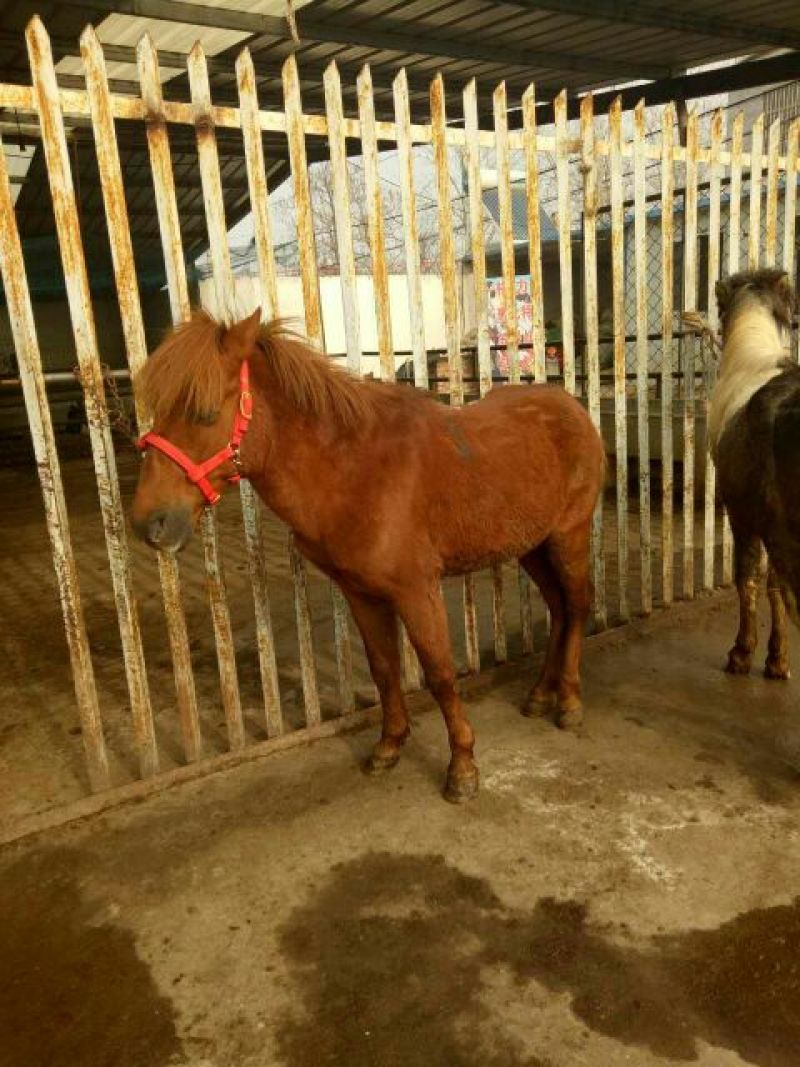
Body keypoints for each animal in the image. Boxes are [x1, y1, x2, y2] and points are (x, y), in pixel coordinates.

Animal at [131, 308, 605, 802]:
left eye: (203, 413)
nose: (149, 523)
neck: (354, 471)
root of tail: (571, 407)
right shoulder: (360, 593)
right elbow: (384, 668)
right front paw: (389, 746)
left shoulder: (417, 591)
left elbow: (439, 673)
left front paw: (462, 767)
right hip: (532, 546)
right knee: (558, 608)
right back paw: (540, 695)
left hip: (568, 537)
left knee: (576, 605)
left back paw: (569, 703)